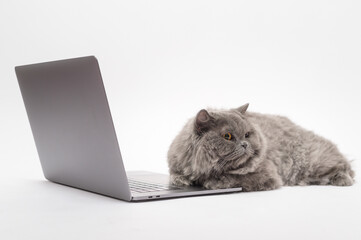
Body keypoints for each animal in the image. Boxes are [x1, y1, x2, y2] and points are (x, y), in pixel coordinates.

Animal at [167, 103, 352, 191]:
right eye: (228, 137)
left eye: (247, 134)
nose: (245, 143)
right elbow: (177, 178)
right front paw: (186, 181)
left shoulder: (266, 174)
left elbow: (234, 179)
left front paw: (212, 182)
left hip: (311, 161)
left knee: (344, 166)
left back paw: (344, 180)